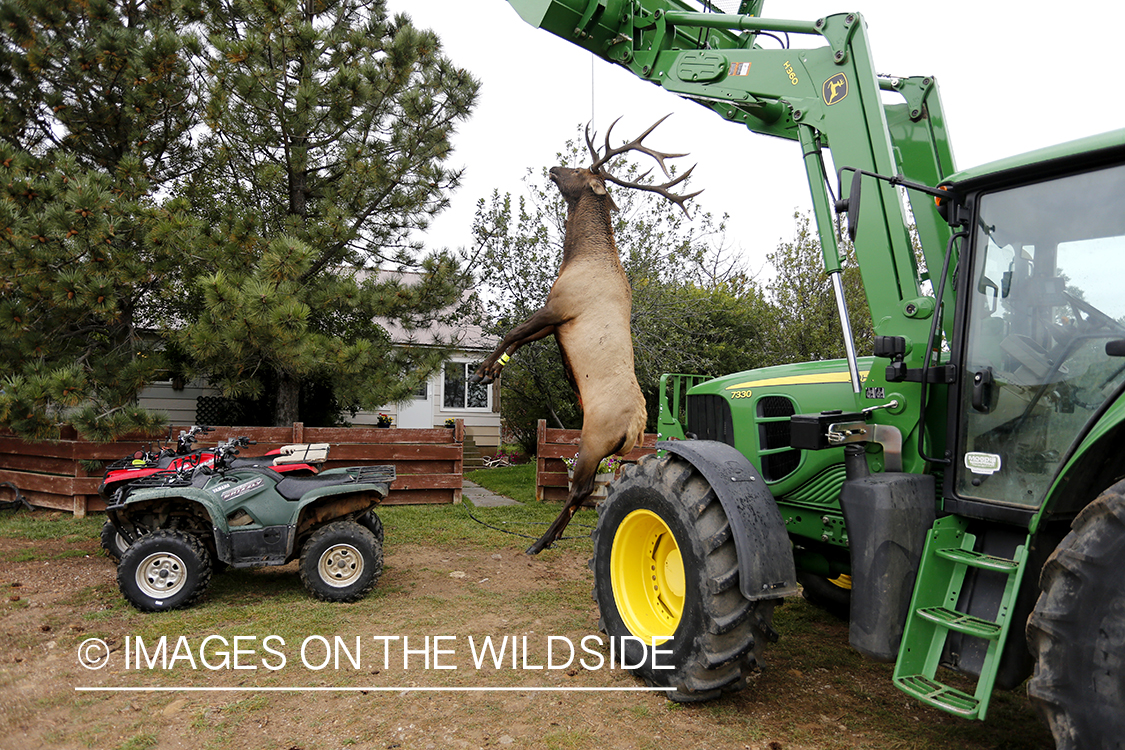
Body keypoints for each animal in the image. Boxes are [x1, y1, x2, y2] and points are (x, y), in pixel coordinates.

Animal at [470, 114, 697, 555]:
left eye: (579, 170)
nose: (554, 167)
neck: (578, 255)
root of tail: (635, 430)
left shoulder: (559, 307)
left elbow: (511, 333)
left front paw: (483, 372)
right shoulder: (555, 321)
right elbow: (518, 341)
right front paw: (491, 371)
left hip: (593, 442)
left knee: (581, 489)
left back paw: (540, 542)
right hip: (608, 450)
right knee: (592, 490)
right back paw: (552, 537)